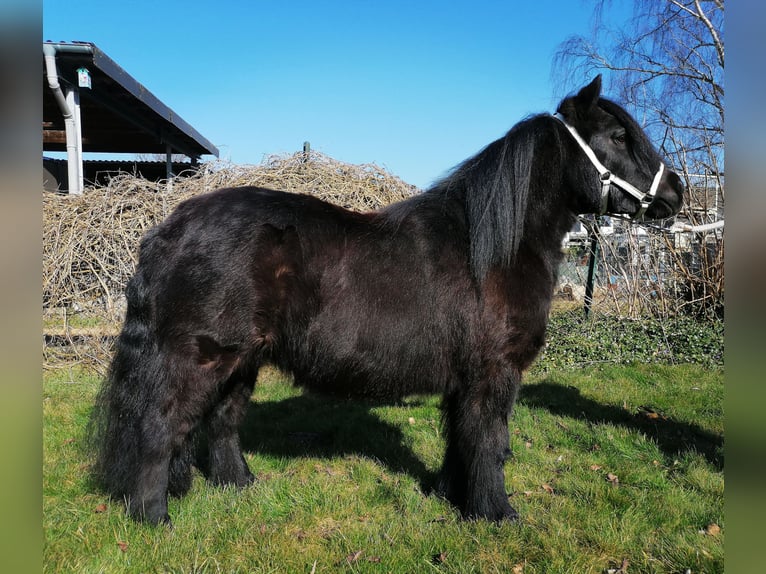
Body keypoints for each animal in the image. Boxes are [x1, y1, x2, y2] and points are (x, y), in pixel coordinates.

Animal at [90, 76, 684, 528]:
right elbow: (491, 442)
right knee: (159, 426)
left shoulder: (464, 378)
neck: (490, 248)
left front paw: (451, 496)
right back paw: (154, 518)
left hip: (243, 361)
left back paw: (242, 487)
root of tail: (167, 228)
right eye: (617, 134)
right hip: (200, 358)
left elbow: (461, 440)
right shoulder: (494, 373)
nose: (676, 193)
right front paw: (497, 515)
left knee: (221, 424)